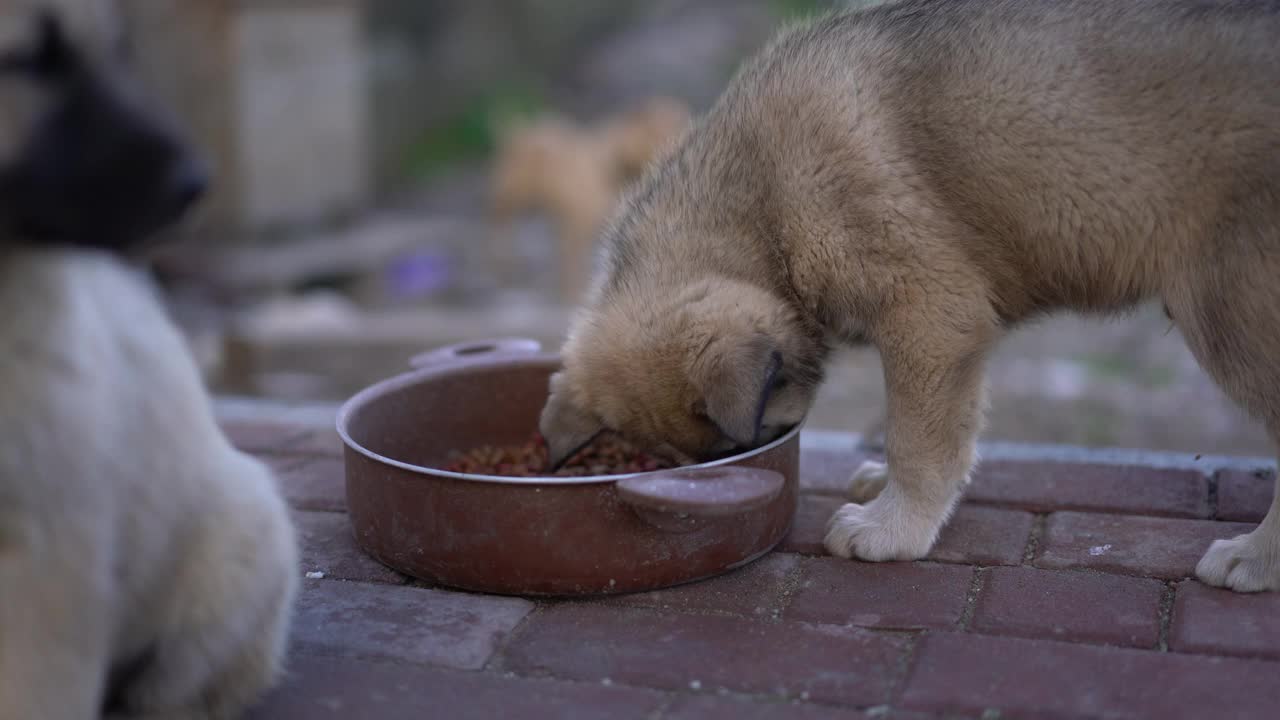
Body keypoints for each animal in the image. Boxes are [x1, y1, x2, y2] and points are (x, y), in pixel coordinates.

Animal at [537, 0, 1280, 591]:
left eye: (750, 442)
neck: (761, 210)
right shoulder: (950, 335)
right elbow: (954, 427)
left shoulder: (930, 314)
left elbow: (915, 437)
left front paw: (893, 528)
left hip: (1233, 311)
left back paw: (1255, 559)